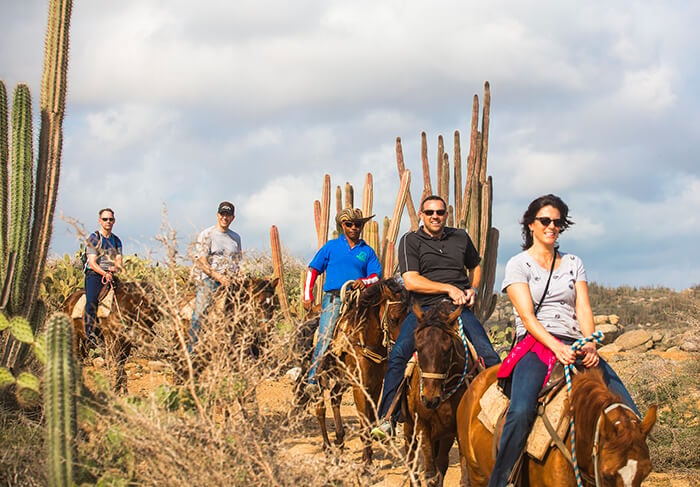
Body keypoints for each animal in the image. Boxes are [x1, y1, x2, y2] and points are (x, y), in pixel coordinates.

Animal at [314, 278, 408, 466]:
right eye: (393, 318)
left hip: (342, 380)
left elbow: (370, 421)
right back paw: (327, 447)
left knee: (334, 398)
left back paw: (340, 441)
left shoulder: (375, 385)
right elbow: (364, 422)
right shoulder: (359, 386)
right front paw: (366, 463)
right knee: (320, 409)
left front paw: (368, 458)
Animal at [402, 302, 478, 487]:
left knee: (441, 463)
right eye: (418, 347)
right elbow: (430, 473)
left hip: (444, 435)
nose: (429, 399)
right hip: (409, 428)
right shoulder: (422, 425)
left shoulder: (456, 430)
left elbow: (462, 477)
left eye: (447, 349)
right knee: (412, 461)